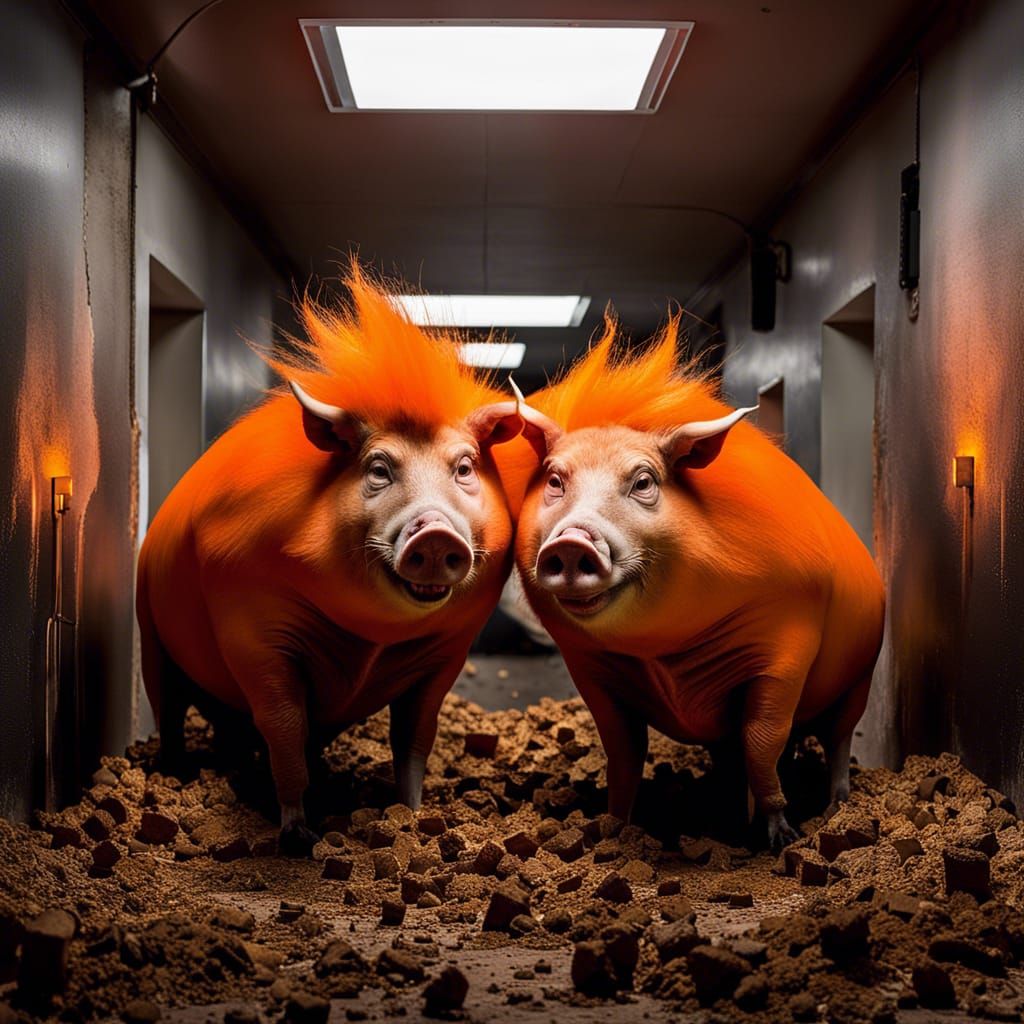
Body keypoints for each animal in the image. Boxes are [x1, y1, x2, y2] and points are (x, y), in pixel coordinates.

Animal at [136, 270, 523, 853]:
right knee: (170, 708)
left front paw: (411, 814)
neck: (374, 634)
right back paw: (177, 773)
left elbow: (414, 736)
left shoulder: (449, 649)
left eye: (464, 467)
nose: (435, 532)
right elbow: (284, 726)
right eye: (379, 468)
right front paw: (299, 835)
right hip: (148, 630)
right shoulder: (251, 631)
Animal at [507, 319, 885, 849]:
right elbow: (624, 750)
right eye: (556, 480)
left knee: (836, 738)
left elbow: (763, 738)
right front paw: (612, 828)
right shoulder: (589, 665)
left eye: (644, 481)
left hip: (859, 678)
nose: (572, 541)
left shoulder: (790, 640)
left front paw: (780, 837)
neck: (660, 650)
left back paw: (835, 807)